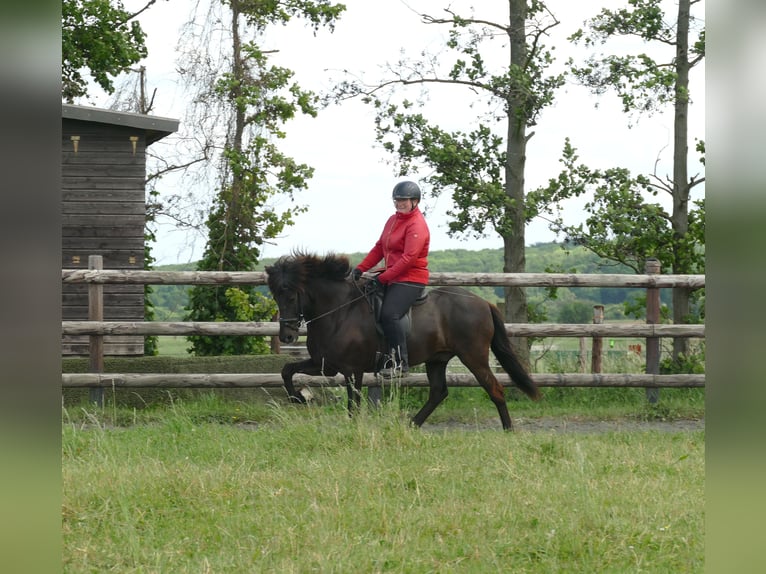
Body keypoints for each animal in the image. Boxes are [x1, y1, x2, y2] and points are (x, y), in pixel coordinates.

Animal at [265, 252, 539, 430]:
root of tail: (484, 303)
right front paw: (298, 398)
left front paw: (352, 429)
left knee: (495, 389)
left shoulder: (352, 370)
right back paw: (411, 424)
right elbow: (287, 370)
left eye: (291, 295)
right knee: (439, 392)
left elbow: (354, 403)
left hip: (474, 356)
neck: (339, 311)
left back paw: (508, 430)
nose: (287, 336)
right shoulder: (325, 364)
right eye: (276, 295)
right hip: (437, 359)